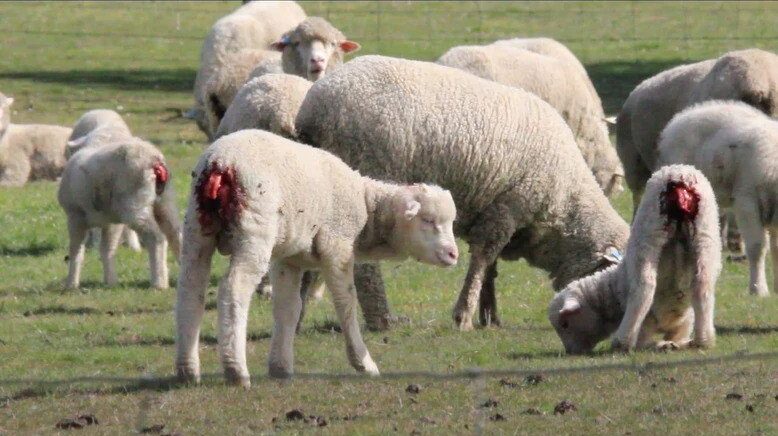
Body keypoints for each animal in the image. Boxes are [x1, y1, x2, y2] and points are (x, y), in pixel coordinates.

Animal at [58, 137, 182, 290]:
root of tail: (154, 158)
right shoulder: (111, 222)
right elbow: (107, 249)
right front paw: (110, 281)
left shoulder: (75, 216)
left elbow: (76, 251)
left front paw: (71, 283)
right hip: (165, 200)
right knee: (175, 233)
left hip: (134, 204)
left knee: (156, 237)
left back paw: (159, 282)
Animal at [174, 129, 459, 386]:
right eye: (428, 220)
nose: (453, 254)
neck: (366, 206)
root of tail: (220, 164)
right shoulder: (337, 247)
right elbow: (346, 303)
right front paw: (363, 363)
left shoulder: (289, 259)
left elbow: (288, 308)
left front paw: (280, 367)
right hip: (254, 230)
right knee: (234, 290)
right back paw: (236, 370)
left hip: (196, 228)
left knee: (190, 289)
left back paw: (188, 371)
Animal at [295, 55, 630, 331]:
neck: (567, 201)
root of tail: (315, 110)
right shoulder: (507, 207)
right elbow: (483, 260)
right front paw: (465, 315)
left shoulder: (493, 209)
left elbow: (490, 268)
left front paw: (489, 315)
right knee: (366, 267)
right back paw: (383, 320)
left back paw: (297, 314)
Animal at [549, 165, 721, 354]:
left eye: (565, 324)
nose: (571, 352)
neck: (614, 290)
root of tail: (679, 175)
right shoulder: (684, 322)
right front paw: (677, 344)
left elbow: (646, 342)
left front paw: (662, 345)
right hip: (706, 231)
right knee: (703, 283)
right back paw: (703, 340)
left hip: (648, 229)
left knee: (645, 286)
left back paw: (623, 341)